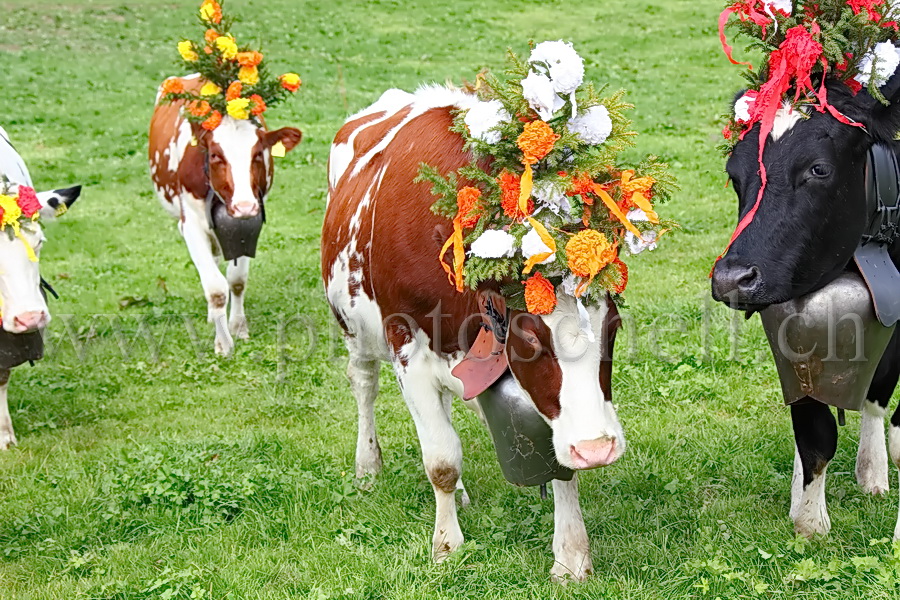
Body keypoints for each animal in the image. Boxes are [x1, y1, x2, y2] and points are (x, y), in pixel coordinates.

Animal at [149, 75, 302, 356]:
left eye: (257, 154)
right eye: (215, 155)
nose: (244, 206)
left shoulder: (248, 224)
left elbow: (236, 280)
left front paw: (238, 327)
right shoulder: (190, 225)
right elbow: (215, 288)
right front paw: (222, 343)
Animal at [322, 86, 624, 584]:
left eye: (612, 327)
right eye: (529, 338)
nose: (596, 449)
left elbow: (557, 463)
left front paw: (571, 555)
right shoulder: (407, 347)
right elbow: (441, 459)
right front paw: (446, 547)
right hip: (354, 330)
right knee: (364, 385)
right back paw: (367, 468)